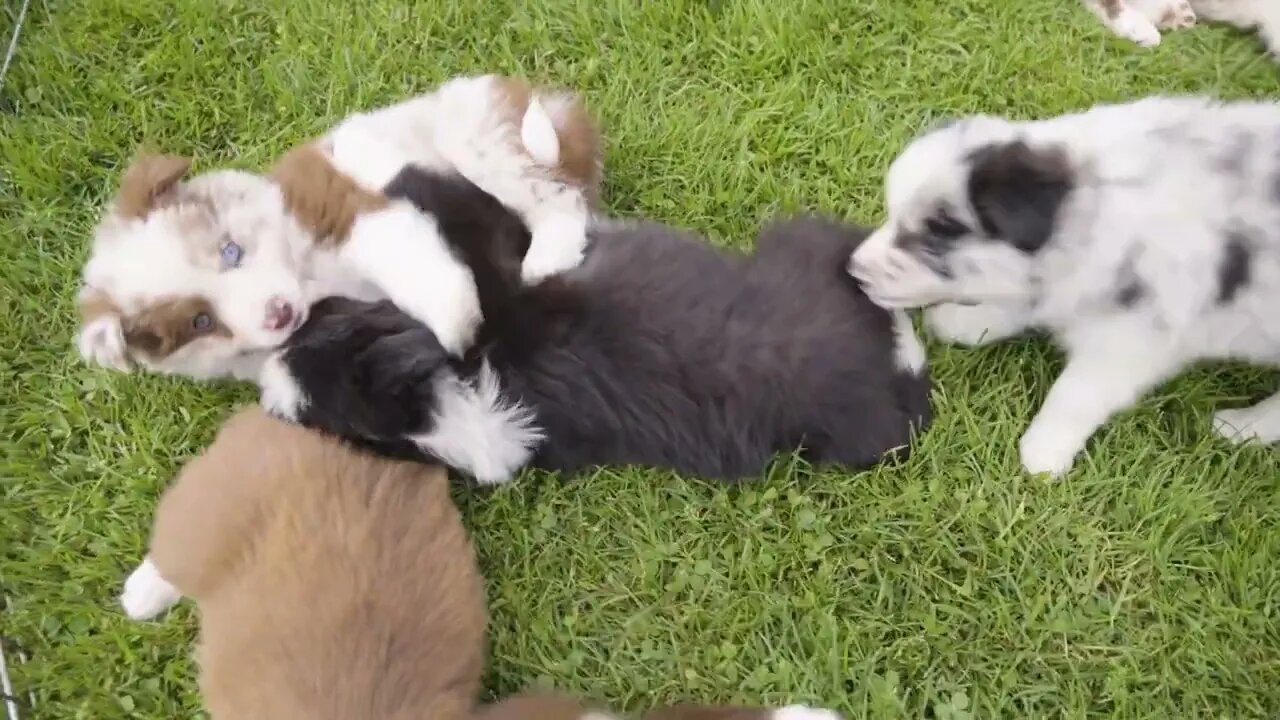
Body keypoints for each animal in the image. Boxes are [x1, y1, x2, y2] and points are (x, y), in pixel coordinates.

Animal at [77, 74, 601, 381]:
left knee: (558, 198)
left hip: (478, 136)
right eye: (199, 322)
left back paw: (548, 256)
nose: (278, 315)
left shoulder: (346, 206)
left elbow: (414, 265)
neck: (306, 277)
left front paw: (457, 327)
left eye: (230, 252)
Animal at [849, 94, 1280, 476]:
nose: (854, 269)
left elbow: (1075, 394)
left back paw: (1241, 427)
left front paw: (1043, 455)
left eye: (940, 232)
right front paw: (964, 323)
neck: (1089, 205)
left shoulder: (1133, 341)